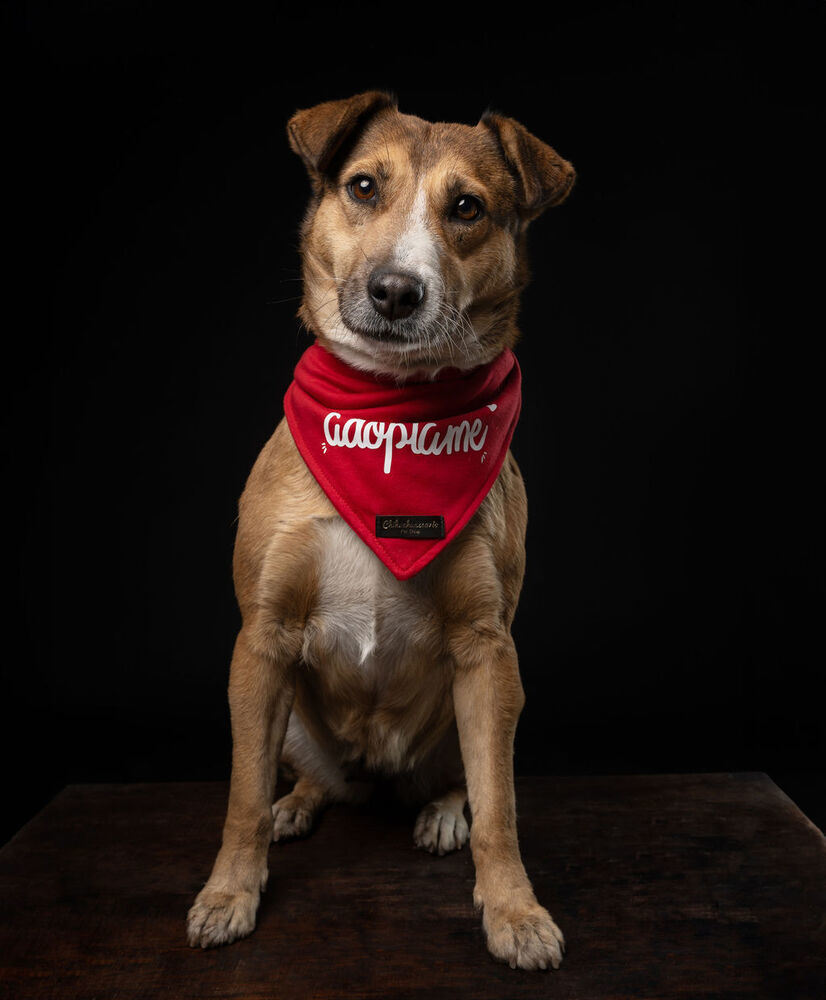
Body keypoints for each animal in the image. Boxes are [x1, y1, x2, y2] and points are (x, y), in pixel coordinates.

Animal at [186, 92, 572, 968]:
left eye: (467, 208)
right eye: (364, 186)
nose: (397, 290)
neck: (393, 417)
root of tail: (375, 768)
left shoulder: (486, 648)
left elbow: (502, 811)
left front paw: (515, 910)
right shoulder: (261, 639)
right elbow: (240, 796)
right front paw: (230, 892)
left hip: (484, 705)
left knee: (464, 780)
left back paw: (442, 814)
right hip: (291, 716)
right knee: (305, 778)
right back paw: (299, 803)